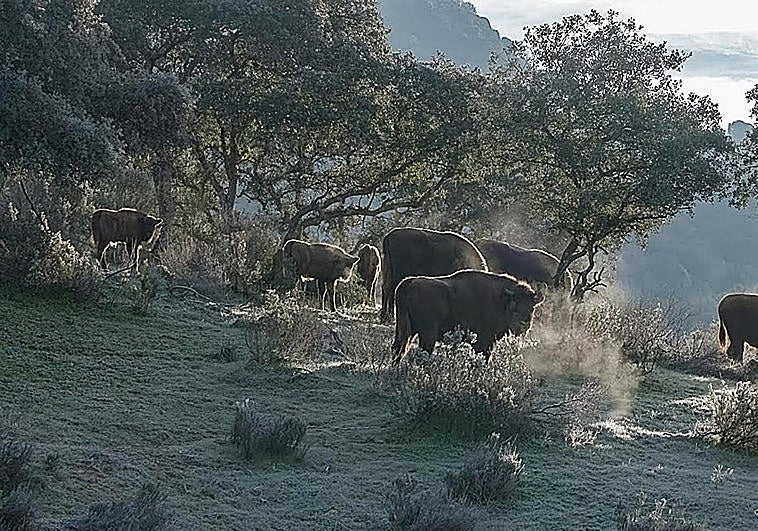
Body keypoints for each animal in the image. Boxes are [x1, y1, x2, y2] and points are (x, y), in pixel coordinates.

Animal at [392, 270, 543, 365]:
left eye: (532, 307)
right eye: (514, 305)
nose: (523, 324)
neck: (501, 299)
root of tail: (409, 283)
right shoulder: (485, 341)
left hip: (406, 330)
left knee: (399, 348)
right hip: (427, 334)